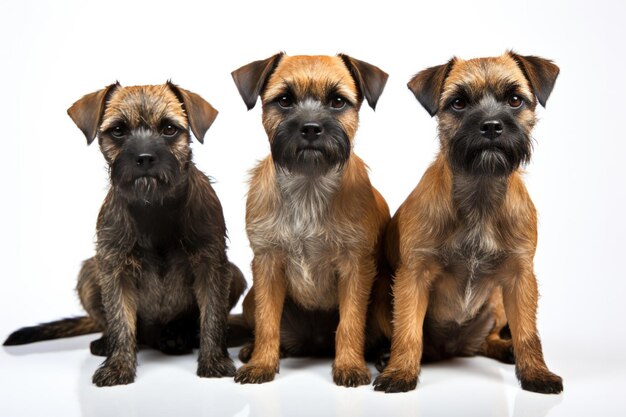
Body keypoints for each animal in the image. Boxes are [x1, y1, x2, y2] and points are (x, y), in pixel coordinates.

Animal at [3, 82, 245, 386]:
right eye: (118, 130)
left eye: (169, 129)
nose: (144, 158)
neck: (154, 207)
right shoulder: (115, 270)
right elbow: (120, 321)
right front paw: (117, 367)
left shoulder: (210, 265)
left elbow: (212, 316)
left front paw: (213, 361)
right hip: (89, 273)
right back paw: (108, 342)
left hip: (234, 274)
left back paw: (177, 335)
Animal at [229, 52, 390, 386]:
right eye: (285, 100)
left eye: (338, 101)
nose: (311, 128)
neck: (309, 185)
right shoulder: (267, 264)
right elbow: (267, 322)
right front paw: (262, 364)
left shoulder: (356, 267)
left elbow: (350, 322)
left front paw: (350, 366)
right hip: (251, 297)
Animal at [368, 52, 564, 394]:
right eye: (458, 103)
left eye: (515, 100)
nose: (491, 125)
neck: (480, 193)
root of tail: (453, 348)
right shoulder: (413, 277)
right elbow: (408, 332)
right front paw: (400, 372)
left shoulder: (520, 278)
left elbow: (528, 333)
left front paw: (536, 373)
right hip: (382, 291)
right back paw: (385, 356)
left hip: (497, 303)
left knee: (489, 339)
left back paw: (505, 349)